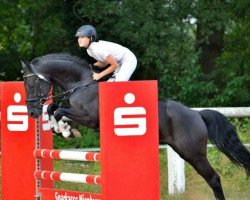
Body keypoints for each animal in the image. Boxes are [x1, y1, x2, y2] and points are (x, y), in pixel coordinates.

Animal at [22, 53, 250, 200]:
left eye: (31, 84)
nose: (32, 112)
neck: (81, 83)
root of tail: (196, 114)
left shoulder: (89, 117)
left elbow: (59, 111)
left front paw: (66, 131)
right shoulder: (76, 113)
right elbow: (53, 108)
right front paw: (62, 129)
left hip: (193, 153)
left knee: (214, 179)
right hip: (183, 151)